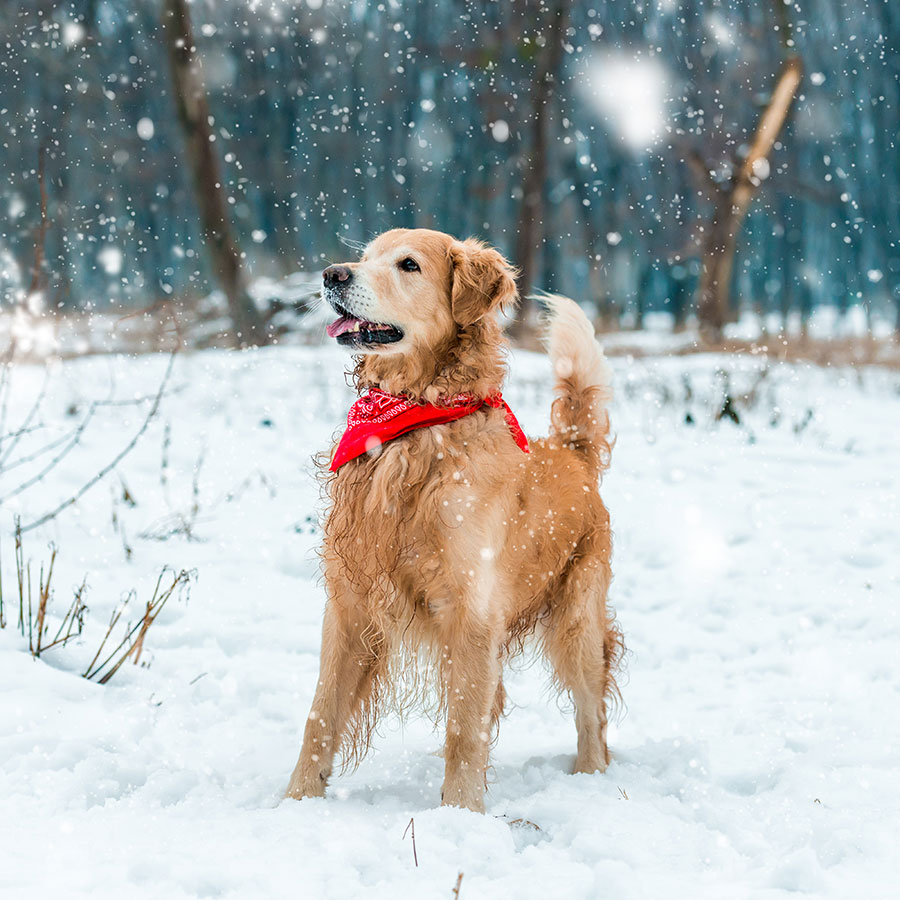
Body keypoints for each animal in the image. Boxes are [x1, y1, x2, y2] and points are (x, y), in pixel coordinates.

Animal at [284, 229, 624, 812]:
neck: (415, 421)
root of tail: (572, 451)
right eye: (366, 256)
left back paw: (590, 778)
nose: (332, 274)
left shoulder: (472, 610)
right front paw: (296, 801)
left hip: (576, 620)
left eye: (409, 265)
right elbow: (320, 716)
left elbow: (464, 730)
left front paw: (460, 814)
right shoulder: (350, 603)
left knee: (590, 711)